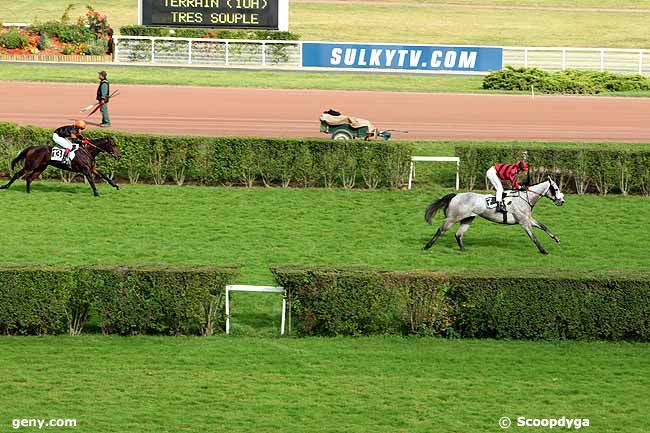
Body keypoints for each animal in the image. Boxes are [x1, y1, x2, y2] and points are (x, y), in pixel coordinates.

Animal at [422, 176, 564, 253]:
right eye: (556, 189)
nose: (562, 201)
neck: (525, 198)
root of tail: (456, 195)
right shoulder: (523, 222)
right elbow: (533, 237)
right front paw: (543, 250)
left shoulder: (528, 219)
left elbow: (543, 226)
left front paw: (556, 239)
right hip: (452, 218)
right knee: (440, 230)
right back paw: (427, 246)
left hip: (468, 219)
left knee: (458, 234)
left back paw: (463, 250)